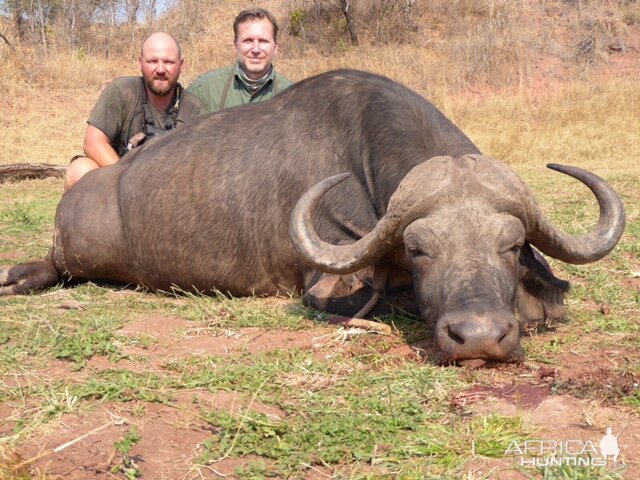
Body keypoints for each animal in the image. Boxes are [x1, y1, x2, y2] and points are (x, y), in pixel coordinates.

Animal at [0, 69, 624, 364]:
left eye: (511, 247)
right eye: (419, 251)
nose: (478, 337)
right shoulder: (331, 287)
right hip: (75, 255)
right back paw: (18, 276)